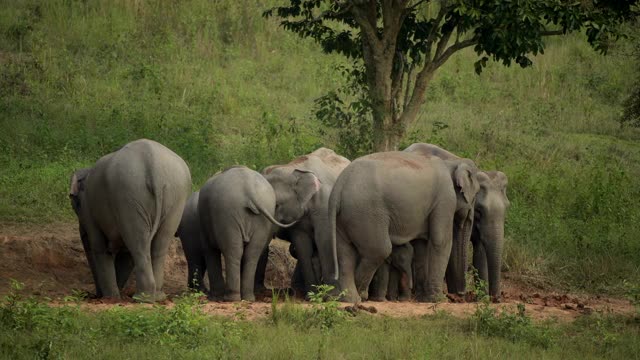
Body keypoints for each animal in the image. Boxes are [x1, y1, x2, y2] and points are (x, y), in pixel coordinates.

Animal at [69, 139, 191, 302]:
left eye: (75, 205)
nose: (95, 295)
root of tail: (153, 163)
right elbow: (124, 254)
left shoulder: (89, 209)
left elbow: (99, 246)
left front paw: (111, 298)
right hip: (176, 197)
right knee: (158, 245)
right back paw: (158, 296)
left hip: (129, 195)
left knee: (138, 245)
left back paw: (142, 298)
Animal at [198, 166, 298, 300]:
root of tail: (249, 189)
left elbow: (209, 249)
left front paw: (213, 298)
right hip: (261, 217)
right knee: (252, 254)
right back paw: (247, 297)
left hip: (227, 213)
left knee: (233, 251)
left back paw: (231, 298)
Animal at [258, 147, 350, 296]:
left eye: (276, 205)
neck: (292, 168)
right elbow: (302, 245)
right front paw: (310, 294)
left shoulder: (325, 204)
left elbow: (323, 239)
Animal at [328, 150, 478, 302]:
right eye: (475, 195)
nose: (459, 295)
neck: (451, 162)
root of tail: (339, 185)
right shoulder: (445, 199)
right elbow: (441, 241)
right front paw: (437, 300)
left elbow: (421, 246)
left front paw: (421, 298)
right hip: (367, 213)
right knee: (380, 250)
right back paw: (361, 296)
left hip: (345, 216)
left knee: (345, 254)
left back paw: (349, 299)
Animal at [404, 142, 510, 300]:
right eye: (479, 211)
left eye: (507, 208)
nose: (496, 298)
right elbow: (453, 244)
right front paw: (457, 295)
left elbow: (480, 252)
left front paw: (481, 298)